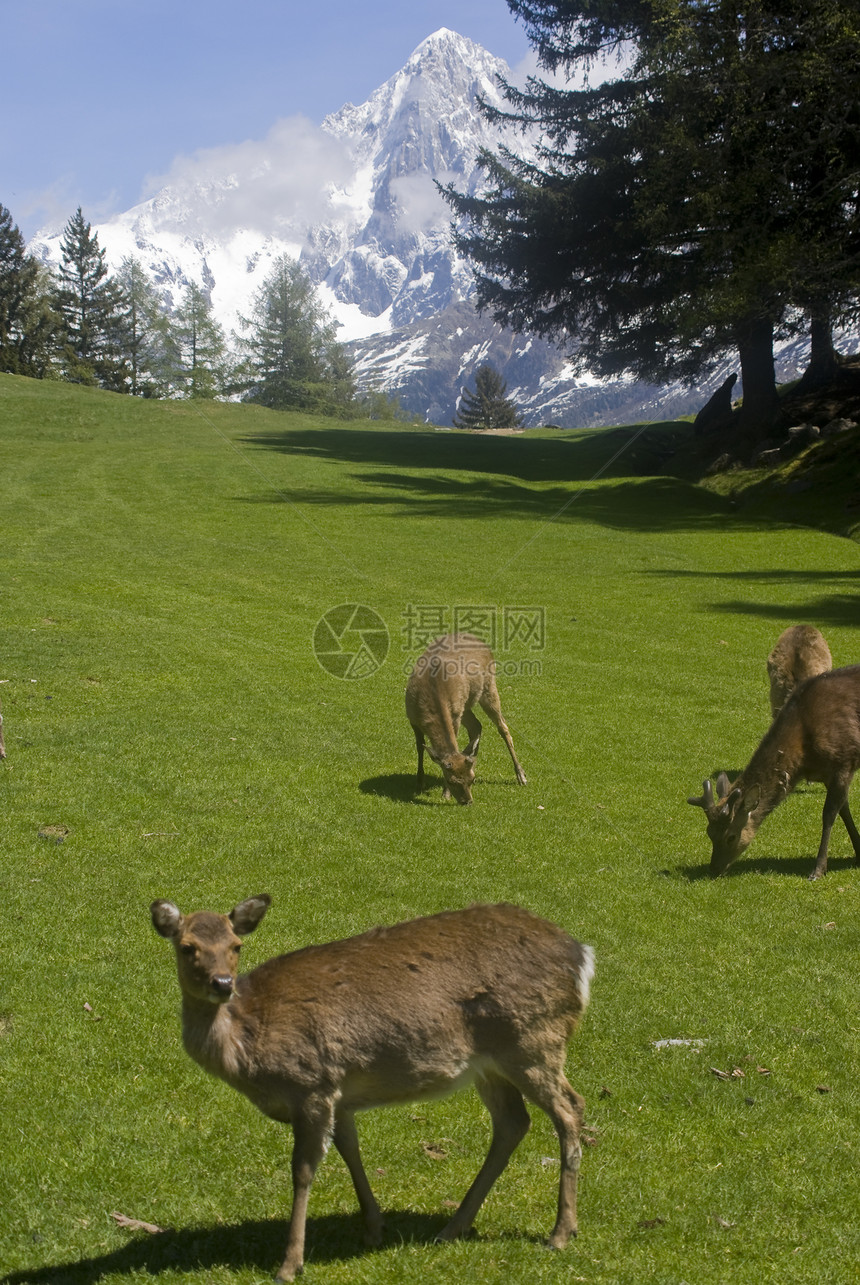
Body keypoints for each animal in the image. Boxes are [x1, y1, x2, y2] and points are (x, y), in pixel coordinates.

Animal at [151, 899, 593, 1279]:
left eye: (235, 945)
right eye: (187, 946)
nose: (222, 983)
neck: (250, 1046)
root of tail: (581, 958)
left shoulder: (312, 1085)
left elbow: (303, 1170)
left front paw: (290, 1264)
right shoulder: (339, 1095)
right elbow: (350, 1150)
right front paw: (373, 1228)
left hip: (533, 1040)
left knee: (570, 1109)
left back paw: (560, 1233)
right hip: (491, 1063)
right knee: (513, 1123)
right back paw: (452, 1227)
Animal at [406, 632, 527, 801]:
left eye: (471, 779)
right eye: (452, 781)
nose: (468, 801)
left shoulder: (455, 716)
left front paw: (445, 794)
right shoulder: (412, 717)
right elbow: (420, 747)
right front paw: (419, 783)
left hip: (488, 688)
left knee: (503, 727)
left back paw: (521, 776)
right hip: (466, 704)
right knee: (477, 725)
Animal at [689, 663, 858, 884]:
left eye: (730, 837)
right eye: (709, 833)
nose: (714, 869)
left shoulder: (843, 761)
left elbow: (829, 813)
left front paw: (818, 869)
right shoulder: (827, 774)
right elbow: (844, 809)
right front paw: (859, 852)